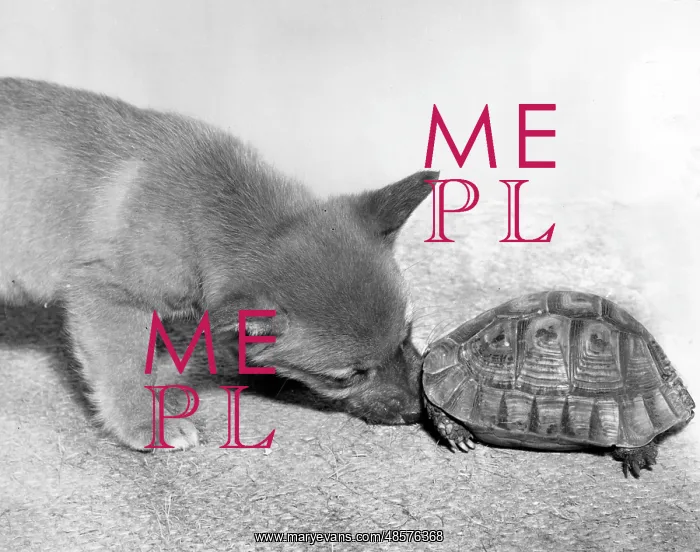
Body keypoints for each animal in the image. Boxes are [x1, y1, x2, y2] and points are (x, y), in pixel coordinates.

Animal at [0, 77, 437, 451]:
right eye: (348, 376)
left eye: (406, 334)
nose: (418, 411)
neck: (207, 212)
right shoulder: (108, 299)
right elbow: (127, 372)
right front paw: (147, 424)